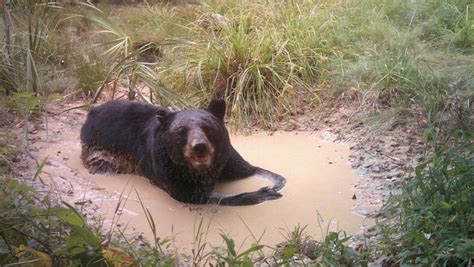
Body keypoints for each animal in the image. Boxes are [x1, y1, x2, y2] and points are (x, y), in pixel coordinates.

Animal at [80, 99, 286, 206]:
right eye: (181, 131)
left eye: (206, 126)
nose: (199, 146)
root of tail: (90, 113)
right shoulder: (169, 171)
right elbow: (197, 196)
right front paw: (260, 193)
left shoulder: (227, 158)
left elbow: (256, 171)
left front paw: (275, 185)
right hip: (100, 151)